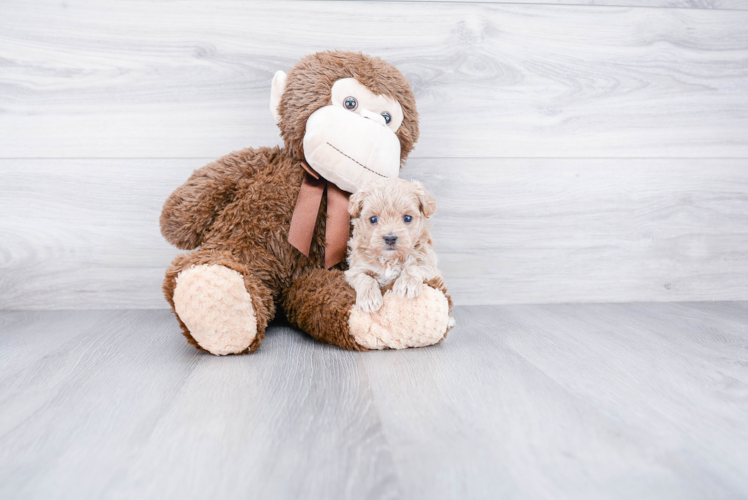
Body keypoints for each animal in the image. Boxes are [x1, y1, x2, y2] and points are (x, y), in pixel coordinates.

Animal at [346, 179, 442, 312]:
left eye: (407, 218)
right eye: (373, 219)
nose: (390, 238)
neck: (389, 259)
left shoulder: (431, 266)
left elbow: (414, 267)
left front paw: (407, 285)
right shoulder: (354, 270)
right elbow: (365, 278)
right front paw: (369, 299)